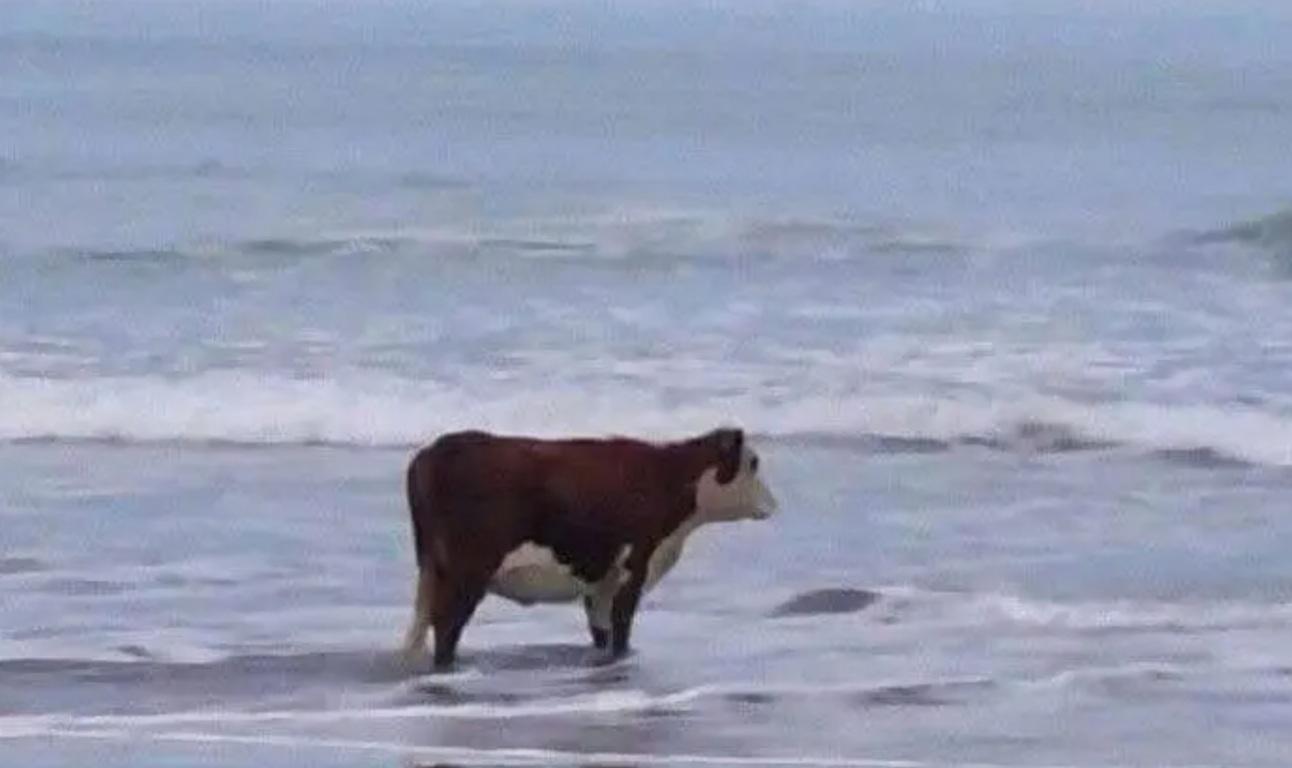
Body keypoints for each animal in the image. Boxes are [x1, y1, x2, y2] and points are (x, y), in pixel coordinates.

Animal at [400, 427, 777, 668]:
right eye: (753, 463)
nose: (773, 504)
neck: (666, 478)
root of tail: (431, 453)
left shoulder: (600, 582)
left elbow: (602, 631)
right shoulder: (633, 569)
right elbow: (620, 628)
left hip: (431, 568)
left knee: (420, 625)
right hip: (467, 570)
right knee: (446, 626)